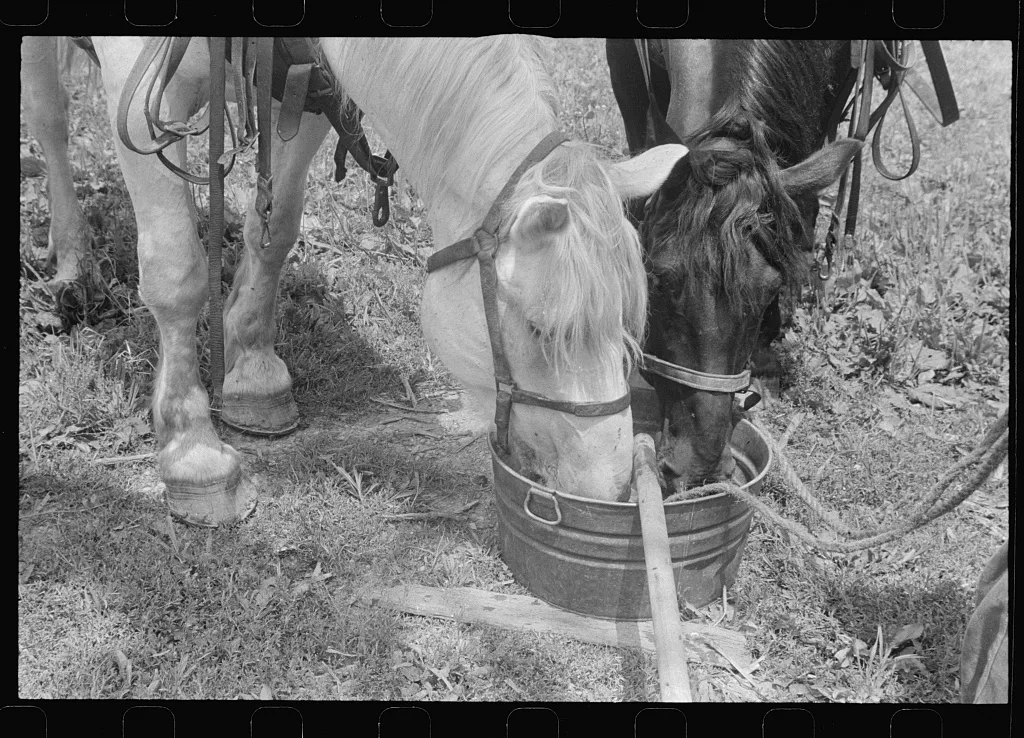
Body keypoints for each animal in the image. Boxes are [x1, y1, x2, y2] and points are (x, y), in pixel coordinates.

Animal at [22, 36, 688, 525]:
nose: (611, 484)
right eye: (538, 329)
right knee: (50, 121)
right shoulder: (136, 97)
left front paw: (253, 370)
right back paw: (72, 262)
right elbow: (177, 271)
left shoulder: (302, 93)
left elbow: (275, 229)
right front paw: (193, 450)